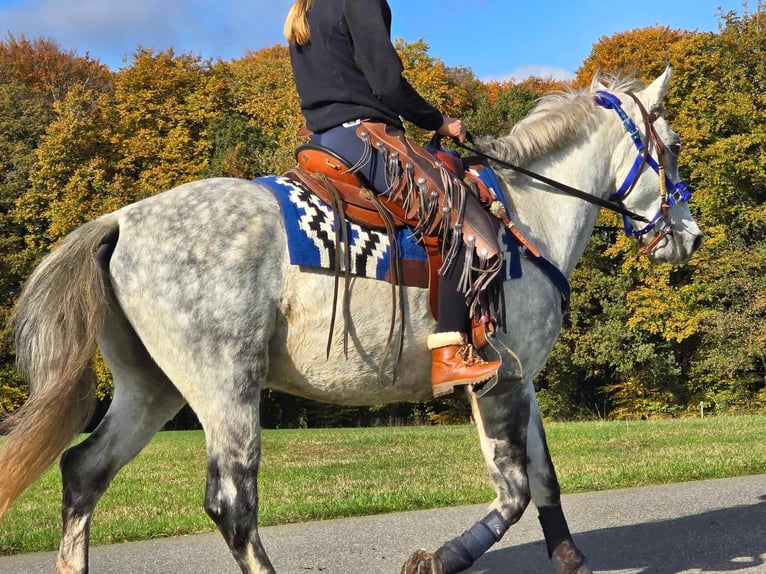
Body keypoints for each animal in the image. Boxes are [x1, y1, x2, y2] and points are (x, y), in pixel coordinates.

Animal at [0, 68, 704, 574]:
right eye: (669, 147)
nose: (690, 236)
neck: (524, 216)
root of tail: (120, 220)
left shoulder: (522, 377)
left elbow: (545, 480)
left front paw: (568, 558)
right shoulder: (499, 379)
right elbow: (514, 491)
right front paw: (440, 558)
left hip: (153, 388)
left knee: (84, 472)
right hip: (226, 388)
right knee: (232, 506)